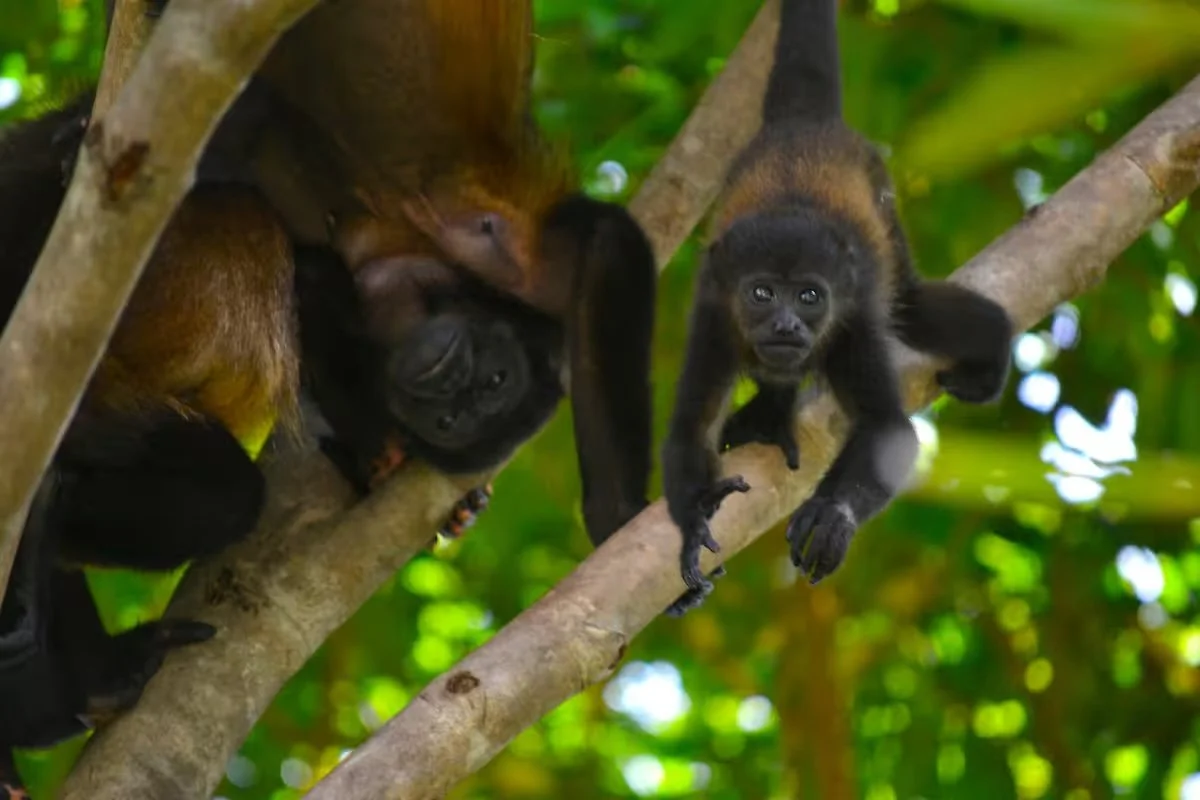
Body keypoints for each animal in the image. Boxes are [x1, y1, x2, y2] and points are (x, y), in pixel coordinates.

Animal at [661, 0, 1014, 616]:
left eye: (809, 296)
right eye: (761, 293)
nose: (785, 324)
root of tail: (804, 124)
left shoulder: (850, 325)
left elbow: (887, 430)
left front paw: (832, 513)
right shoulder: (713, 315)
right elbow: (688, 429)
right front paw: (694, 532)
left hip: (882, 196)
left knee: (909, 304)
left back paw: (991, 348)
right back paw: (770, 412)